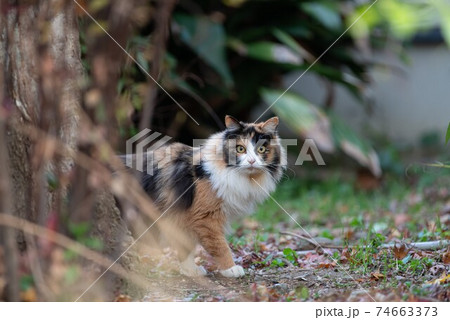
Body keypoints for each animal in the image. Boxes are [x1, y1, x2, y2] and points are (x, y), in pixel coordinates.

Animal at [134, 115, 284, 278]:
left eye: (261, 149)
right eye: (240, 149)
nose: (251, 161)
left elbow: (185, 245)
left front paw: (189, 269)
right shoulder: (204, 217)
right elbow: (219, 245)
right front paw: (230, 268)